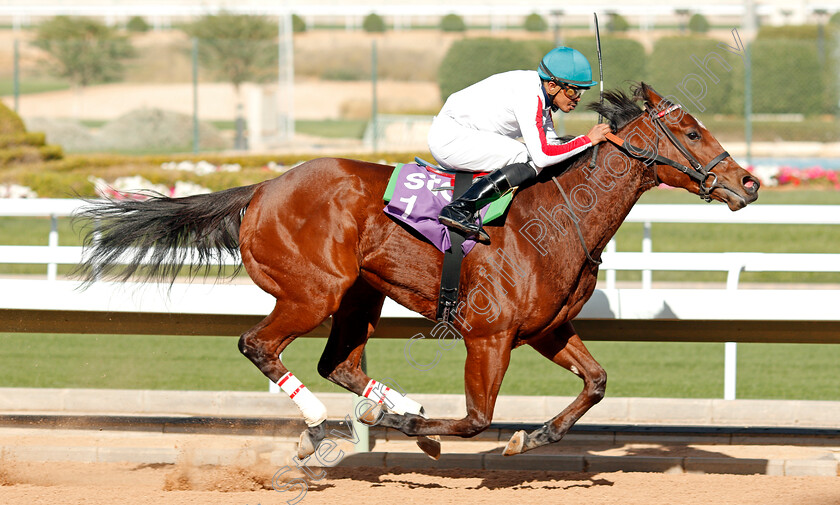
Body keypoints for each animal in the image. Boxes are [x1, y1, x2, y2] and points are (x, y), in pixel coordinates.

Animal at [77, 83, 760, 460]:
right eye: (691, 131)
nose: (749, 182)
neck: (560, 216)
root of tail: (264, 187)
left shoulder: (546, 330)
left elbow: (596, 382)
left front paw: (536, 435)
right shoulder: (489, 335)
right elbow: (477, 420)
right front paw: (427, 430)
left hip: (359, 294)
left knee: (339, 363)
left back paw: (382, 409)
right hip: (312, 292)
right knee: (259, 345)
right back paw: (324, 425)